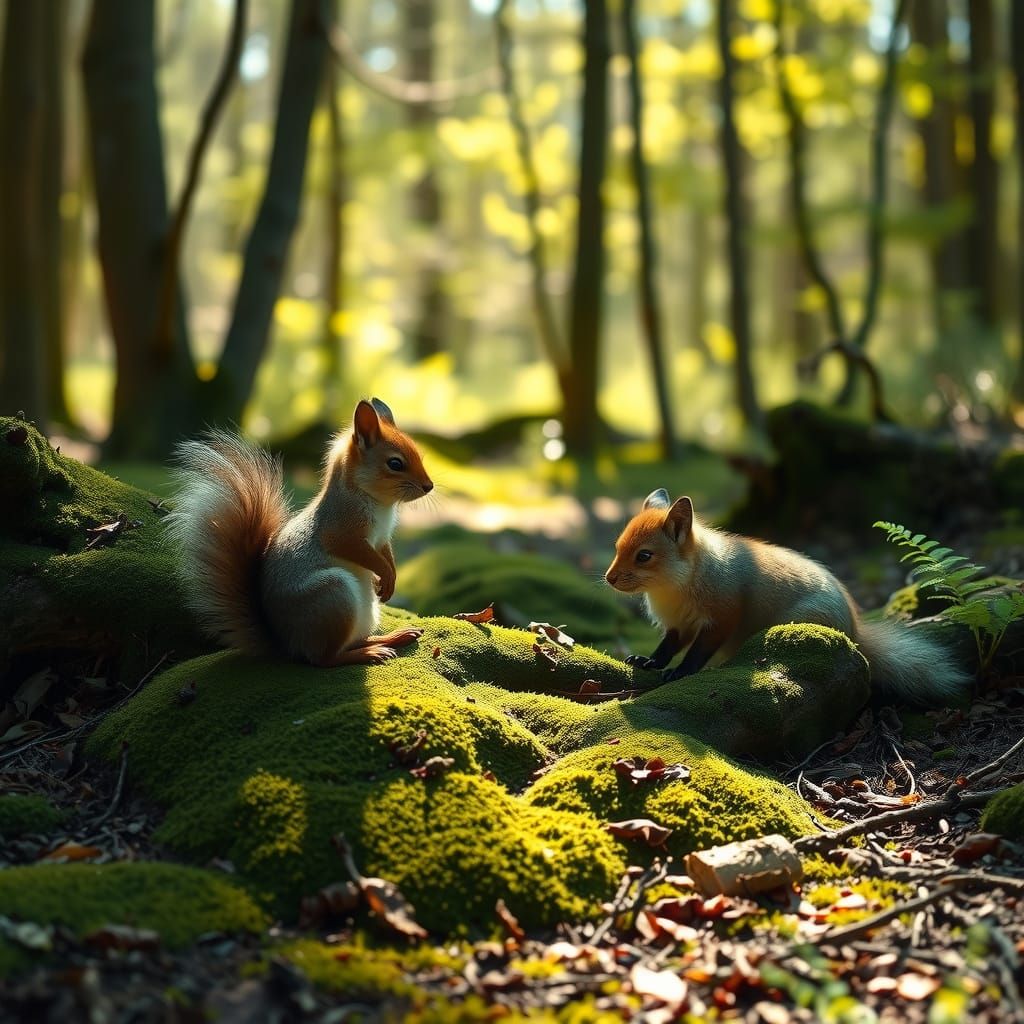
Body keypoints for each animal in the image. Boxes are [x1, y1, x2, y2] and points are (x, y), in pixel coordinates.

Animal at [167, 398, 432, 667]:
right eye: (395, 464)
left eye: (419, 455)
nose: (429, 486)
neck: (377, 502)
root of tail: (287, 644)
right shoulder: (341, 530)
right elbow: (359, 552)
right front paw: (385, 575)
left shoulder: (381, 539)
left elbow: (385, 555)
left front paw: (390, 579)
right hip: (333, 595)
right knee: (324, 658)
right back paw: (369, 653)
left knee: (353, 641)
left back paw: (394, 637)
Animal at [604, 489, 970, 705]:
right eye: (617, 546)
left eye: (644, 556)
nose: (609, 578)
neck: (674, 588)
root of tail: (856, 633)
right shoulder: (678, 625)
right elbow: (667, 647)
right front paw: (648, 661)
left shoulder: (721, 619)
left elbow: (697, 652)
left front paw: (680, 673)